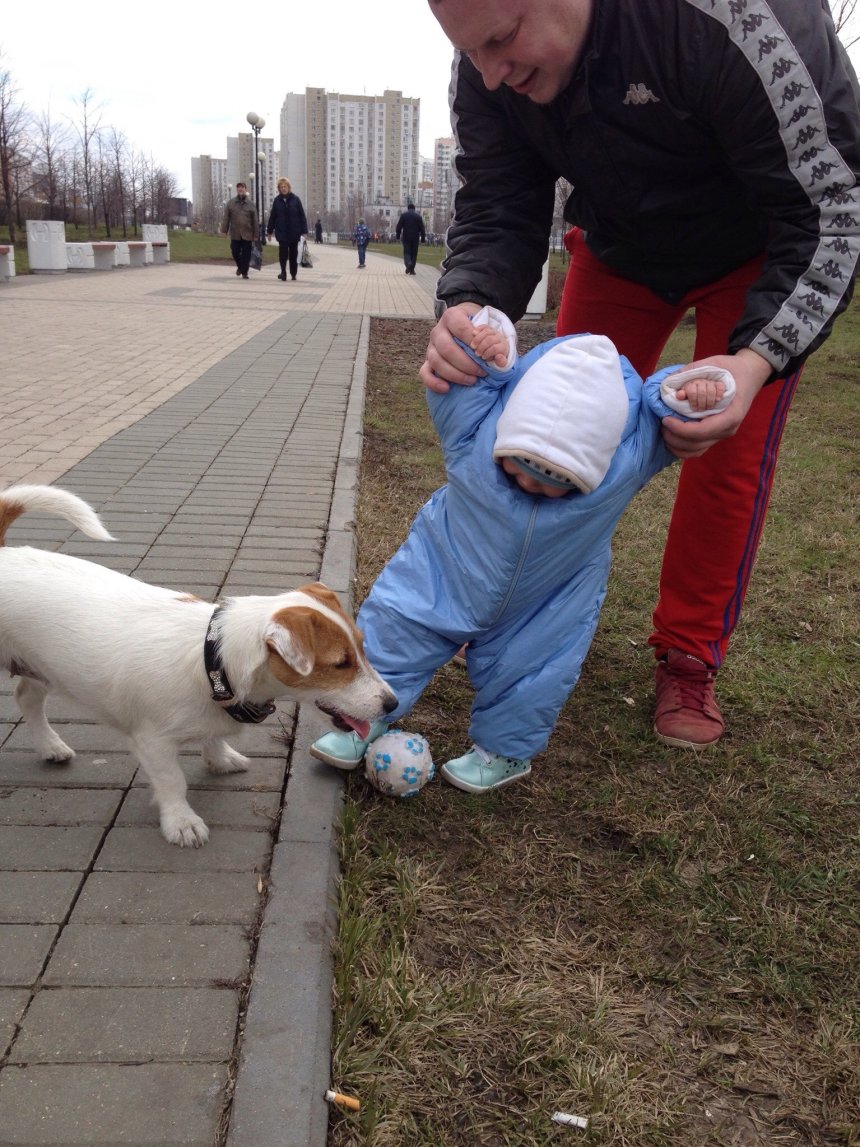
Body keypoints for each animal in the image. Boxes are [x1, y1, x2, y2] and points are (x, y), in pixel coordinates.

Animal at [0, 479, 396, 848]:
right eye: (341, 664)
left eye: (362, 647)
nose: (392, 703)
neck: (214, 664)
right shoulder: (154, 742)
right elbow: (173, 781)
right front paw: (181, 821)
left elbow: (212, 739)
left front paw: (220, 759)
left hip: (40, 667)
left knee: (26, 699)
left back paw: (51, 747)